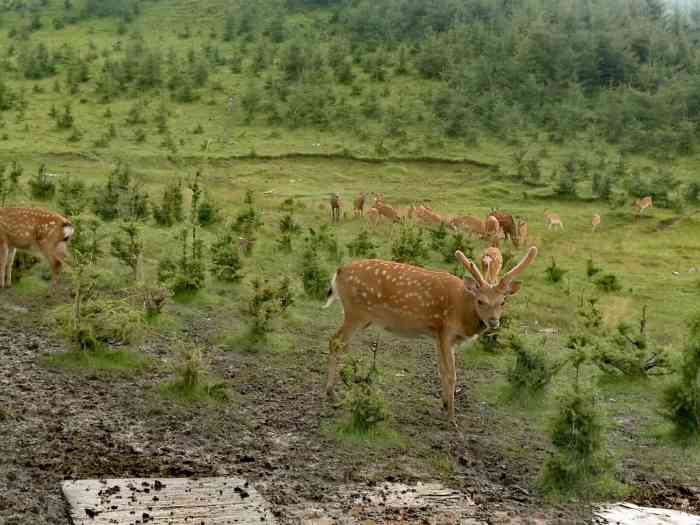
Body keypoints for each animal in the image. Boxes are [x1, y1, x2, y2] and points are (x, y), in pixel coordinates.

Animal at [326, 246, 540, 422]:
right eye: (480, 301)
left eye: (503, 301)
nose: (494, 322)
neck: (462, 311)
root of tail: (338, 272)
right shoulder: (446, 331)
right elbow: (451, 374)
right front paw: (452, 417)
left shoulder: (437, 334)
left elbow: (441, 369)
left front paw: (444, 405)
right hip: (356, 312)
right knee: (335, 341)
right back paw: (331, 393)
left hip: (359, 316)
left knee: (341, 344)